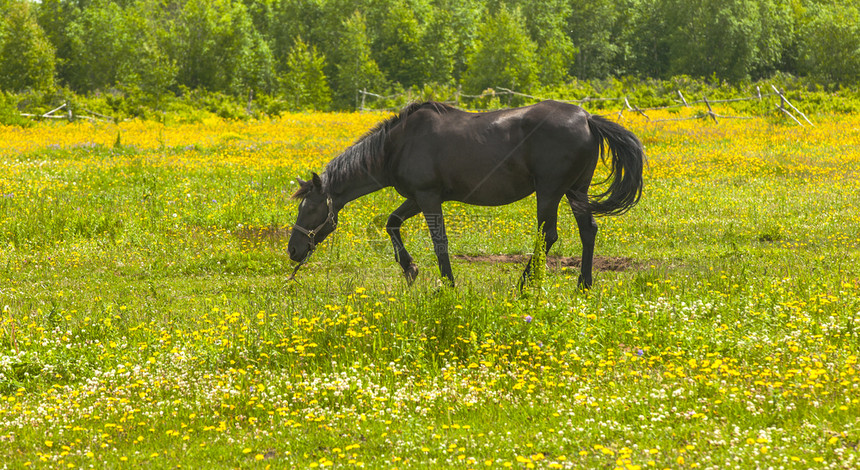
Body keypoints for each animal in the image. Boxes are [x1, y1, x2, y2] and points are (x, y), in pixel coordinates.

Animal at [290, 101, 644, 288]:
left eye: (309, 209)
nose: (293, 251)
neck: (396, 145)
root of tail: (587, 118)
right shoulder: (417, 197)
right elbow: (392, 223)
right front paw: (409, 269)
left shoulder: (429, 197)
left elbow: (440, 242)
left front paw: (448, 284)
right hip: (575, 191)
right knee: (588, 231)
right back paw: (583, 284)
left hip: (550, 191)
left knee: (549, 235)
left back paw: (524, 283)